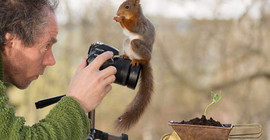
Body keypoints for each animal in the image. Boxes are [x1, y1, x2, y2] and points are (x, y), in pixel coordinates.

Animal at [113, 0, 155, 130]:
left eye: (127, 6)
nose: (118, 13)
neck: (133, 15)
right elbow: (127, 30)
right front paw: (117, 18)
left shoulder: (139, 23)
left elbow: (132, 27)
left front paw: (121, 18)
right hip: (127, 42)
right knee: (128, 43)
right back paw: (127, 57)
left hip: (138, 46)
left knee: (143, 56)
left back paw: (139, 61)